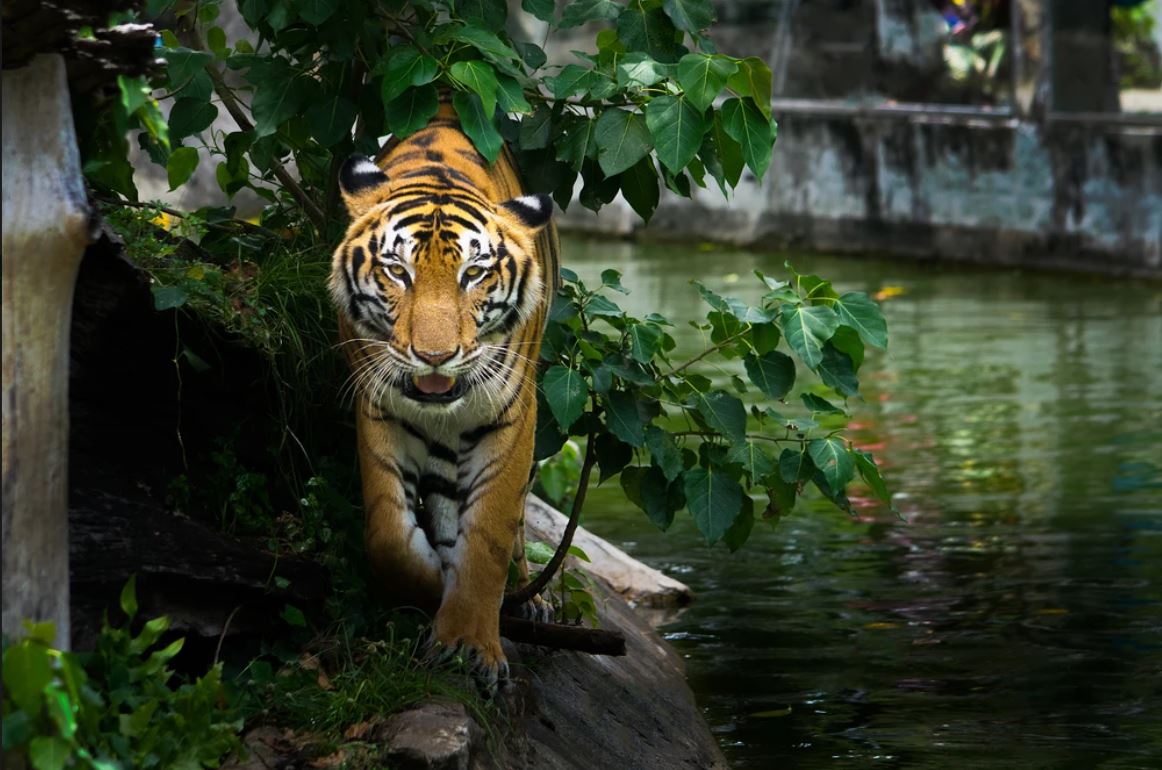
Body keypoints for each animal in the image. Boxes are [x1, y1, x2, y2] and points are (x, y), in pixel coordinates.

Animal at [329, 99, 560, 692]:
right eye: (397, 271)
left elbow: (490, 537)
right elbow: (388, 534)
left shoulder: (511, 416)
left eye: (473, 274)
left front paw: (469, 645)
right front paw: (435, 583)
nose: (435, 356)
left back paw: (530, 598)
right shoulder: (378, 405)